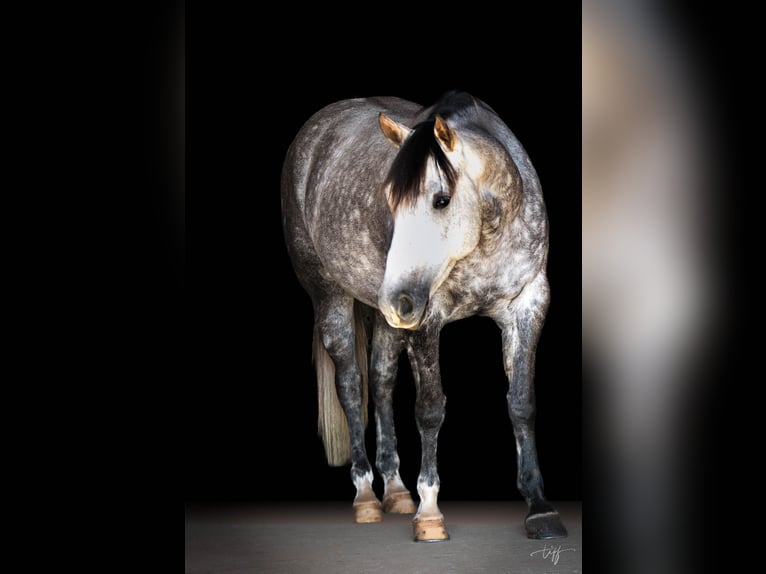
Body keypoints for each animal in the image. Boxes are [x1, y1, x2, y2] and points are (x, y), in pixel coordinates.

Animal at [280, 92, 564, 544]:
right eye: (390, 202)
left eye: (441, 200)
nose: (397, 300)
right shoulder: (426, 321)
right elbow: (430, 409)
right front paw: (430, 512)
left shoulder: (529, 305)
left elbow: (522, 403)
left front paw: (540, 508)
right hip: (333, 299)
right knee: (351, 388)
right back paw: (366, 495)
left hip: (388, 322)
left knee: (380, 382)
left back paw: (396, 490)